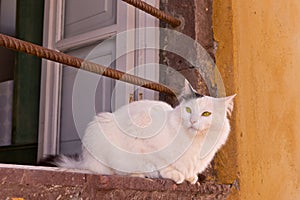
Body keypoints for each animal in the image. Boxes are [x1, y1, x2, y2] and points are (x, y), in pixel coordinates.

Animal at [42, 94, 234, 184]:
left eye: (206, 114)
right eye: (188, 110)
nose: (193, 121)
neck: (194, 142)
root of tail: (84, 160)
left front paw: (191, 177)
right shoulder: (142, 136)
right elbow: (160, 162)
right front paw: (174, 175)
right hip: (100, 127)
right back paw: (140, 174)